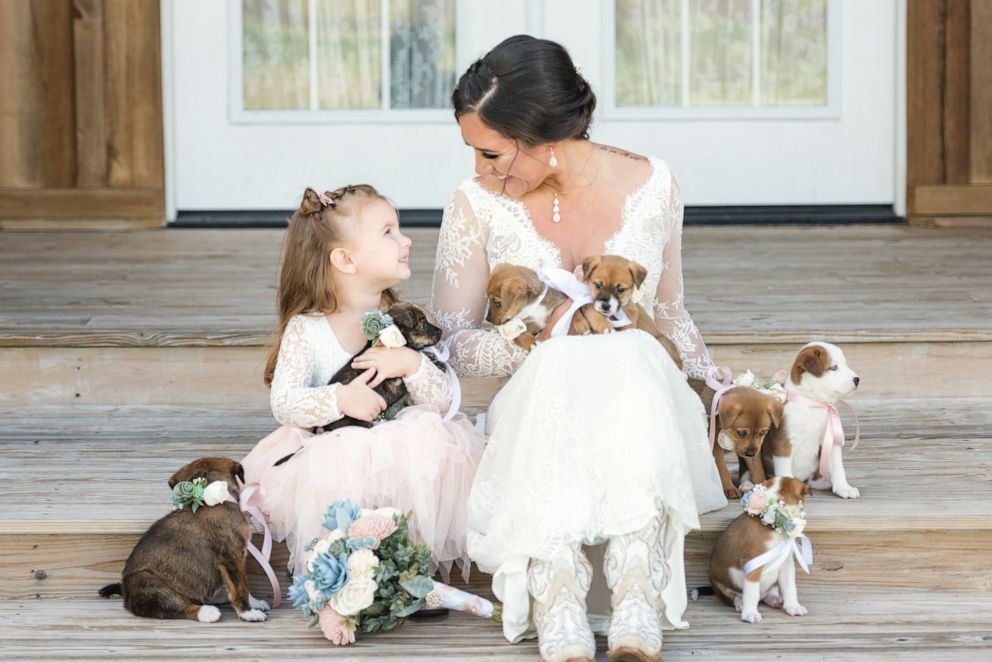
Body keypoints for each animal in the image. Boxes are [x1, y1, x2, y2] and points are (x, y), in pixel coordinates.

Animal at [99, 460, 270, 624]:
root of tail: (126, 593)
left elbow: (240, 586)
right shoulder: (232, 557)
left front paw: (255, 603)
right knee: (170, 606)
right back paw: (206, 612)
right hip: (147, 582)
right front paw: (248, 613)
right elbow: (240, 587)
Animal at [708, 478, 808, 624]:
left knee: (768, 593)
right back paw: (741, 604)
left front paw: (793, 606)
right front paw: (750, 613)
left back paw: (775, 599)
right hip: (722, 586)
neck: (773, 528)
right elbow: (752, 593)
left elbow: (790, 587)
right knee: (735, 597)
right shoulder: (753, 564)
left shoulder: (786, 564)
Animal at [760, 342, 860, 498]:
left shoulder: (831, 441)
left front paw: (844, 488)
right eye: (834, 367)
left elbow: (838, 468)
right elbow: (785, 472)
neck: (813, 404)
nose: (857, 379)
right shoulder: (784, 444)